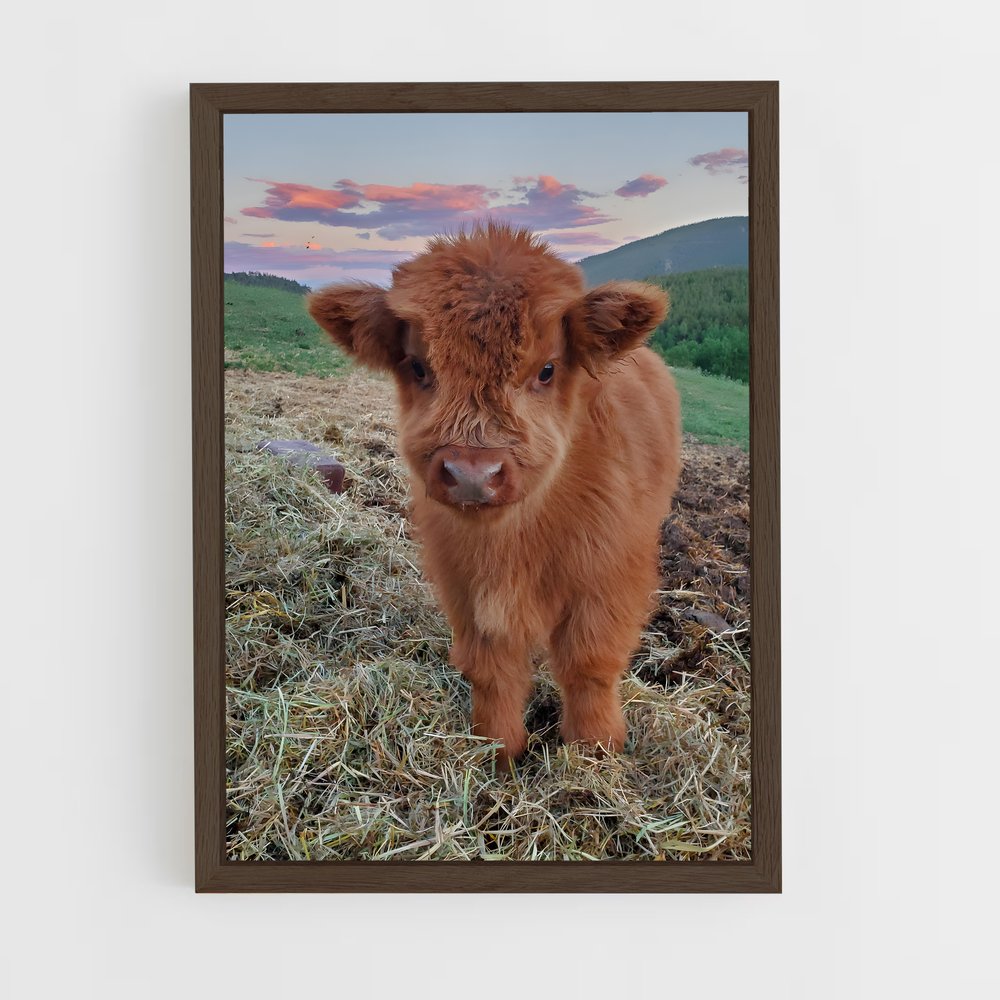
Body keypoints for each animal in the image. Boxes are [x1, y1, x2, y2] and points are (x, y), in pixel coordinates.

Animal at [307, 223, 681, 769]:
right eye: (418, 366)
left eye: (547, 369)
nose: (471, 474)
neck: (516, 541)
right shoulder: (464, 583)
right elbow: (492, 669)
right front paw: (497, 752)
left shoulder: (610, 576)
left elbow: (589, 662)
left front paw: (595, 752)